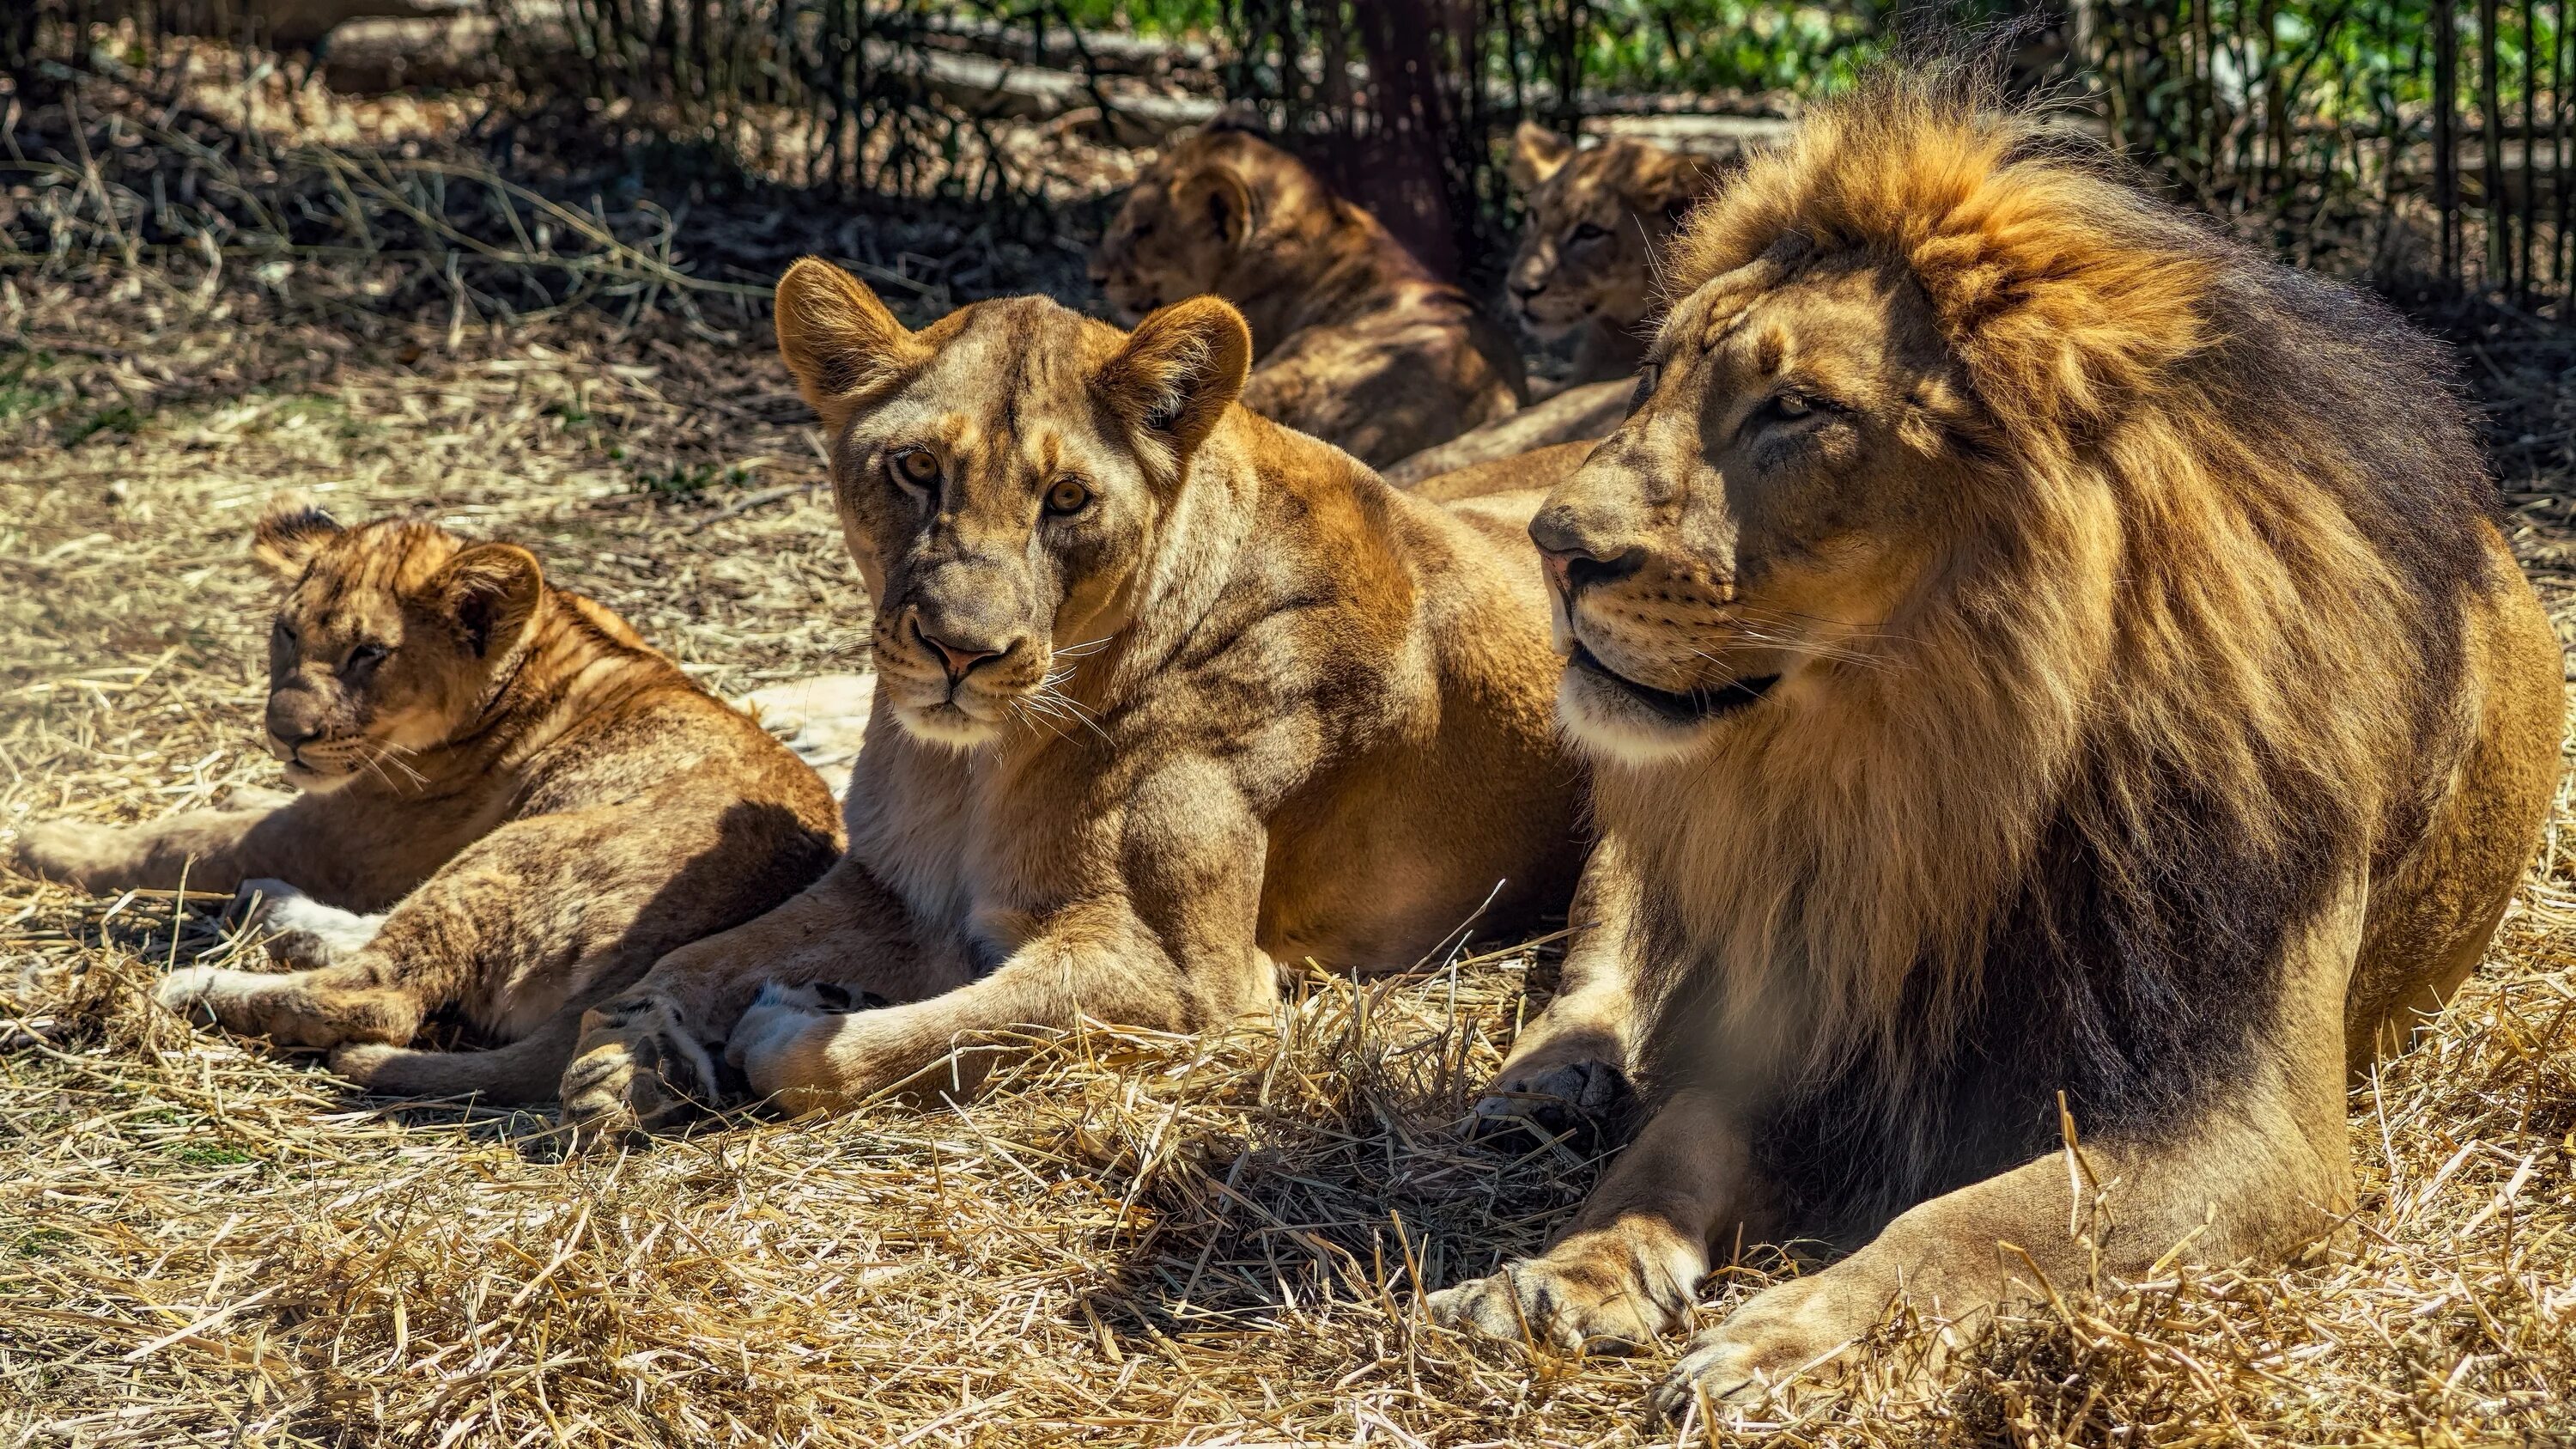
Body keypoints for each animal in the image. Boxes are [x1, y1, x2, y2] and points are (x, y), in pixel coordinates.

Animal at [7, 508, 835, 1093]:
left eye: (368, 653)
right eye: (285, 632)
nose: (284, 732)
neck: (543, 648)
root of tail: (657, 965)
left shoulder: (339, 838)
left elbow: (186, 836)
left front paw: (44, 842)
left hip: (517, 847)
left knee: (380, 994)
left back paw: (197, 983)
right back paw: (274, 913)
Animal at [554, 261, 1577, 1139]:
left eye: (1069, 499)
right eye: (917, 468)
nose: (959, 651)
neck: (972, 768)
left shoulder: (1189, 977)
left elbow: (908, 1043)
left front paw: (790, 1019)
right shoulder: (891, 886)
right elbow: (700, 952)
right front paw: (631, 1048)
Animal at [1432, 70, 2576, 1412]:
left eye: (1797, 409)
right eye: (1650, 378)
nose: (1552, 548)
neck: (1935, 768)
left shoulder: (2252, 1123)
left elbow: (1975, 1223)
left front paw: (1786, 1340)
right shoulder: (1820, 1006)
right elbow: (1675, 1138)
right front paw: (1566, 1268)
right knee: (1604, 961)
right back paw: (1547, 1085)